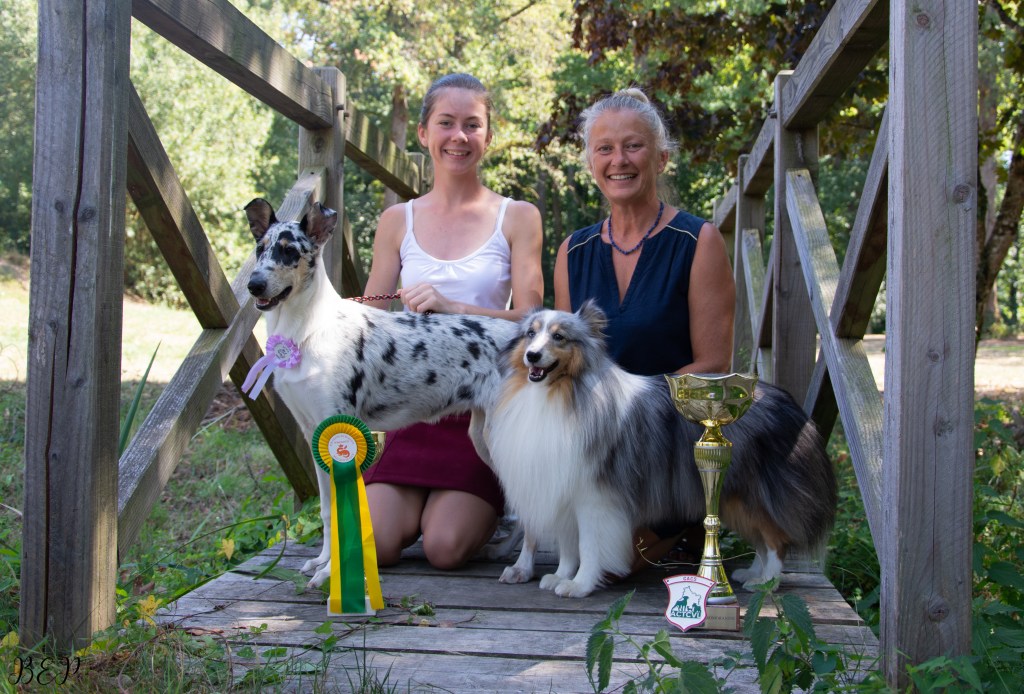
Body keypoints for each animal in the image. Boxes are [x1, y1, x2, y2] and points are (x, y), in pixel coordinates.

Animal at [243, 198, 518, 588]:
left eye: (290, 251)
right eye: (259, 249)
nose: (254, 285)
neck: (307, 331)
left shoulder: (339, 426)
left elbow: (344, 510)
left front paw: (331, 573)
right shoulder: (313, 433)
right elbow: (327, 511)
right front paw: (323, 562)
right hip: (485, 437)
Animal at [485, 302, 837, 598]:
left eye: (559, 337)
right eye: (530, 334)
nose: (532, 356)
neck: (562, 393)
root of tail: (793, 408)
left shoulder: (594, 498)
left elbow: (589, 546)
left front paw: (580, 585)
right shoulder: (563, 491)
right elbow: (570, 547)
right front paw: (561, 576)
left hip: (753, 492)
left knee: (776, 540)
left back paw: (767, 582)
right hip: (733, 496)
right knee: (763, 541)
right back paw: (752, 573)